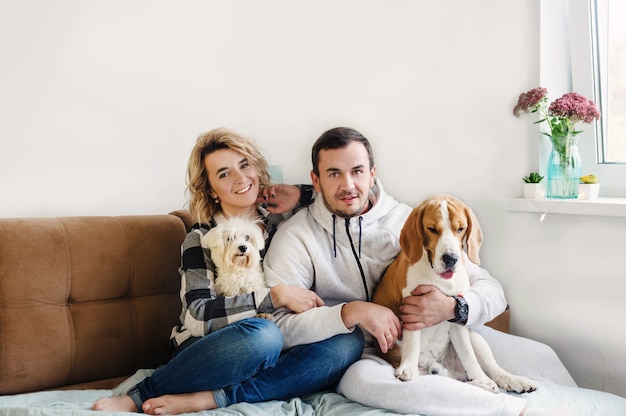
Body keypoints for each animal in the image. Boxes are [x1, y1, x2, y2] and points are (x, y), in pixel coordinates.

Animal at [372, 194, 532, 394]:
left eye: (461, 229)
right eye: (432, 229)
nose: (451, 259)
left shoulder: (456, 318)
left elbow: (468, 354)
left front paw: (482, 378)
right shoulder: (411, 312)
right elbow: (412, 343)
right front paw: (407, 368)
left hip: (475, 338)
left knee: (492, 369)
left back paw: (505, 380)